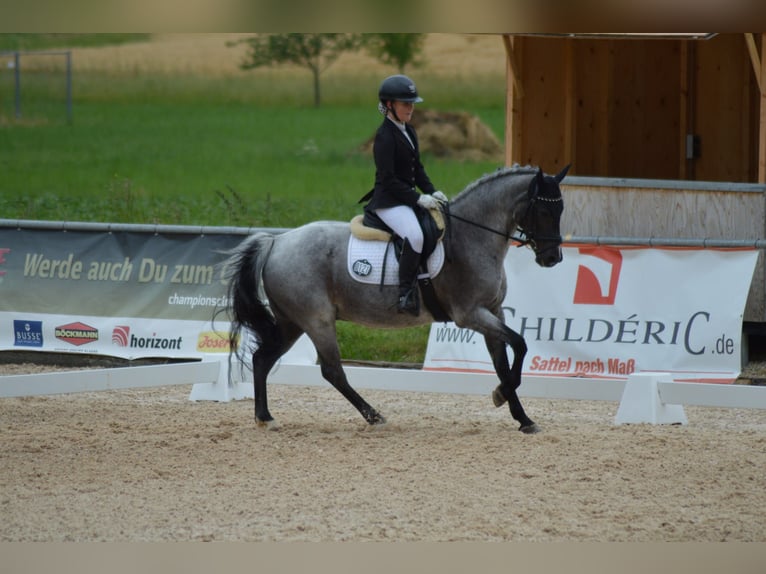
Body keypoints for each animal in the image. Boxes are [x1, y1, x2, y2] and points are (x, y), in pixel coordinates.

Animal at [225, 164, 568, 434]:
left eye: (561, 210)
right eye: (543, 210)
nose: (552, 258)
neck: (473, 238)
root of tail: (277, 240)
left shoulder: (493, 312)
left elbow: (503, 362)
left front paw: (523, 418)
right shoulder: (470, 314)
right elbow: (520, 345)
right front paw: (500, 395)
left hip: (292, 322)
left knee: (262, 359)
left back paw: (265, 417)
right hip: (316, 320)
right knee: (331, 370)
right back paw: (373, 416)